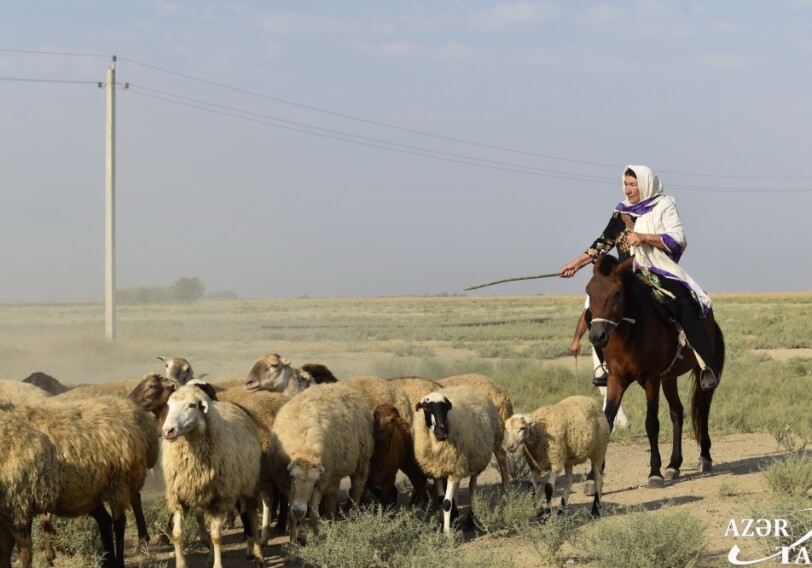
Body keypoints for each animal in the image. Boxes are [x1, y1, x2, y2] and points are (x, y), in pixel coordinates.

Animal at [163, 382, 266, 568]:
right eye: (169, 405)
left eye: (192, 405)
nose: (168, 431)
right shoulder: (179, 498)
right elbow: (177, 534)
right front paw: (181, 563)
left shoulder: (219, 499)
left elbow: (217, 537)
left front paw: (218, 564)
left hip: (247, 487)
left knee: (252, 519)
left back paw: (259, 556)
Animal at [270, 382, 378, 540]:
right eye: (292, 477)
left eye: (314, 481)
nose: (299, 510)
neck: (304, 449)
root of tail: (344, 388)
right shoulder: (285, 483)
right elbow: (291, 515)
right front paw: (294, 540)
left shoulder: (321, 482)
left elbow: (314, 514)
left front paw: (316, 538)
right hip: (335, 472)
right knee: (332, 498)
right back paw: (331, 521)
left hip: (361, 463)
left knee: (356, 492)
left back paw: (352, 519)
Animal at [416, 386, 504, 532]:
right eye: (427, 407)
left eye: (446, 408)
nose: (442, 431)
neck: (437, 443)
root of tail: (469, 387)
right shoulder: (438, 471)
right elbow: (441, 499)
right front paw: (444, 524)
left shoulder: (453, 470)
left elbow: (446, 503)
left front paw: (447, 533)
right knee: (456, 491)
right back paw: (455, 517)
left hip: (475, 462)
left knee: (472, 488)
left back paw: (470, 519)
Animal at [584, 254, 724, 488]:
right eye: (589, 291)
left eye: (617, 293)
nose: (597, 336)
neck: (630, 332)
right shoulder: (616, 379)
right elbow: (608, 421)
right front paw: (593, 477)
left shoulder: (651, 379)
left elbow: (651, 423)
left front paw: (654, 472)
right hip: (669, 378)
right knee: (677, 412)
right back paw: (674, 465)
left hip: (698, 371)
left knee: (702, 410)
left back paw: (704, 456)